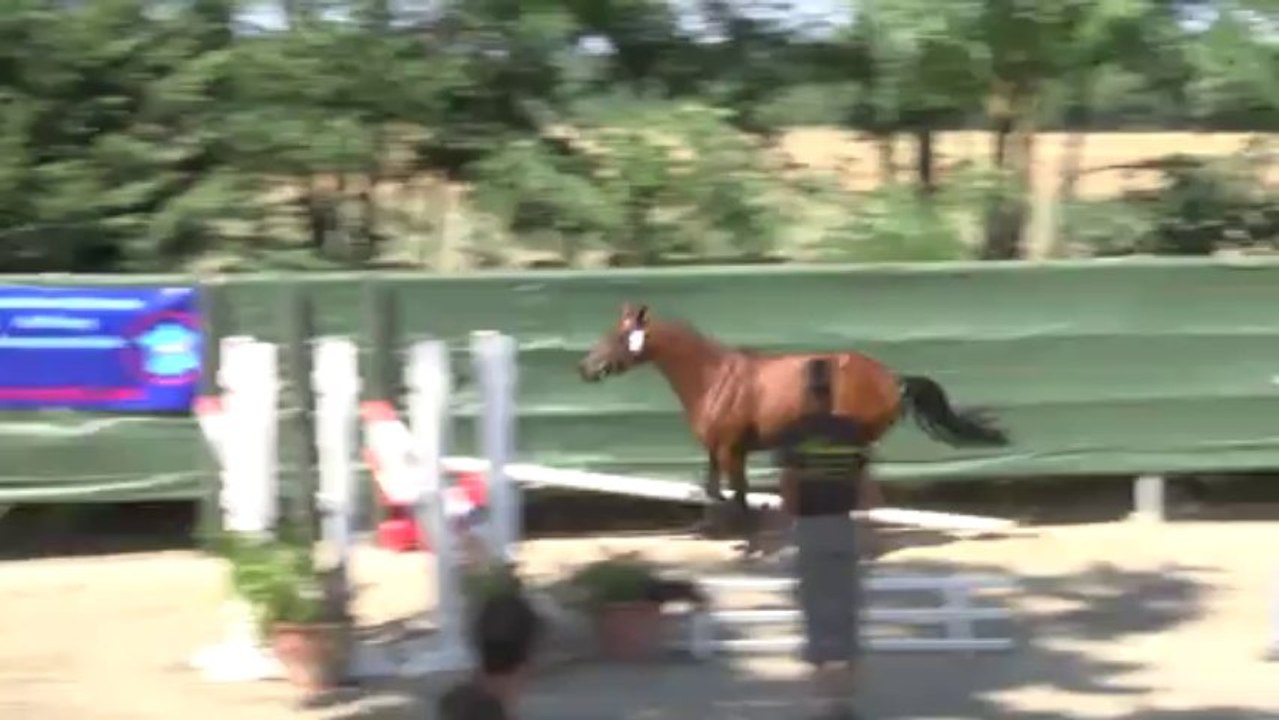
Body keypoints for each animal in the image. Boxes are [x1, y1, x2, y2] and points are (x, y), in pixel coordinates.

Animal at [577, 303, 1010, 535]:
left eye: (618, 337)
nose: (585, 368)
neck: (714, 379)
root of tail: (893, 379)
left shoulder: (732, 450)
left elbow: (739, 498)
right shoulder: (718, 452)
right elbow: (717, 494)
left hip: (853, 443)